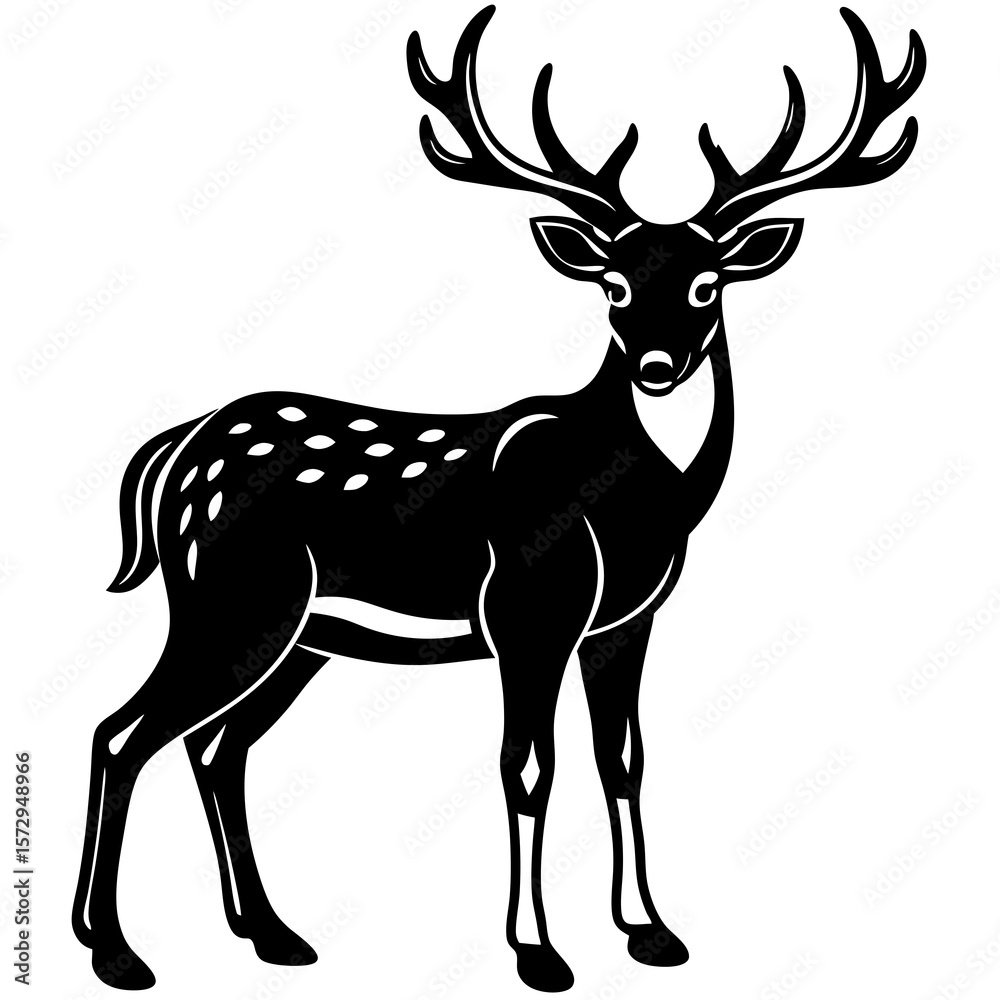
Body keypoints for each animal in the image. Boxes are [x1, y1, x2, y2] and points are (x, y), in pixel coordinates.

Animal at [72, 5, 925, 991]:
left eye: (707, 283)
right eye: (613, 283)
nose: (657, 366)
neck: (633, 498)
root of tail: (175, 450)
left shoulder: (627, 620)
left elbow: (623, 760)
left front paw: (651, 932)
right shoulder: (528, 606)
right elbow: (528, 767)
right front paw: (538, 952)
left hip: (298, 634)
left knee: (216, 746)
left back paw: (272, 934)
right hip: (230, 597)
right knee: (124, 732)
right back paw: (114, 950)